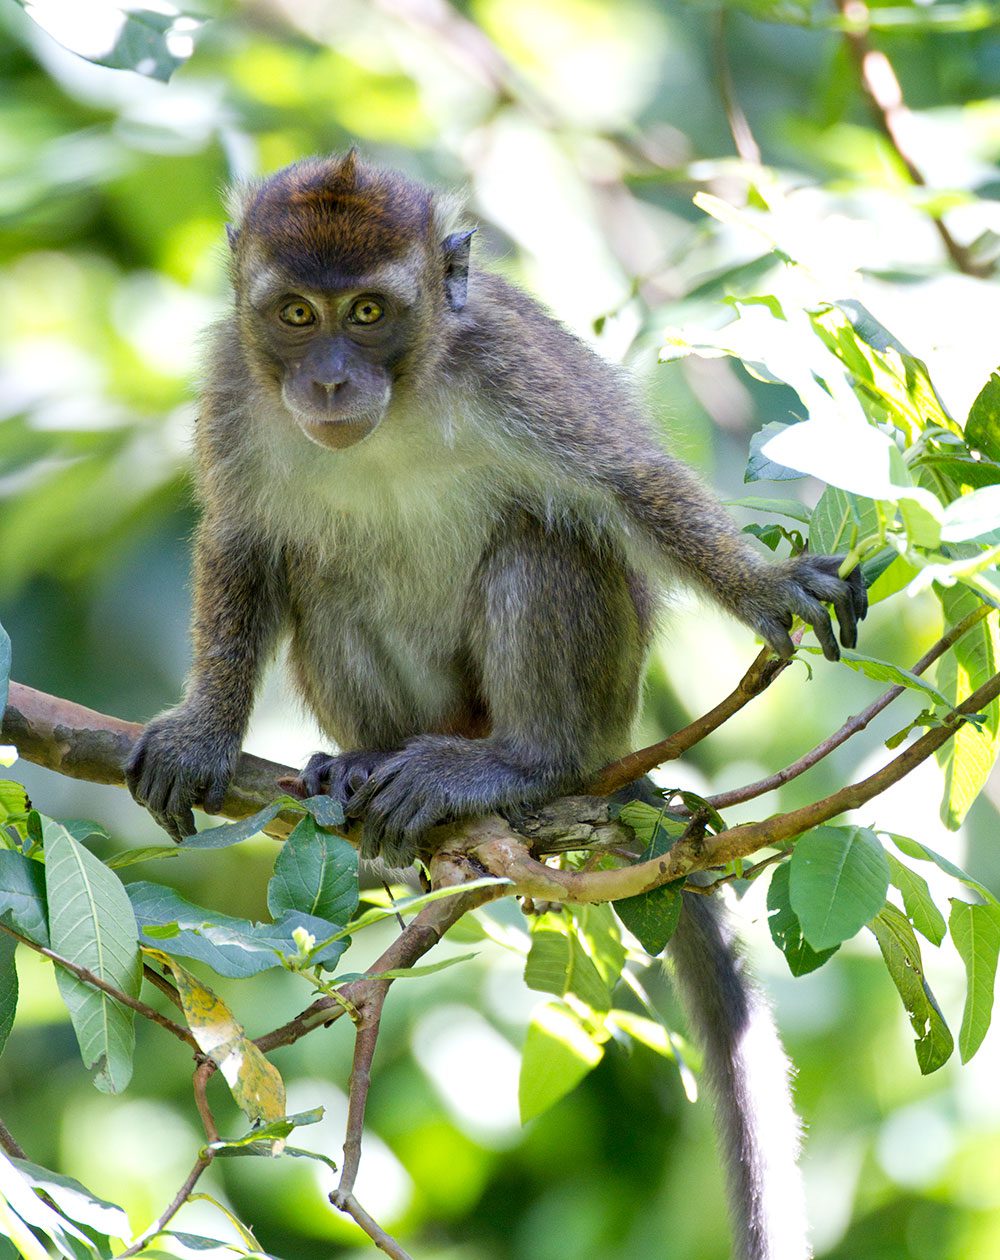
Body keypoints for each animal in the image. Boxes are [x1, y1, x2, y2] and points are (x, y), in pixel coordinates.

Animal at [126, 149, 866, 1260]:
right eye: (297, 313)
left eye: (370, 311)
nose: (330, 378)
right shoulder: (232, 393)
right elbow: (241, 546)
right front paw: (204, 732)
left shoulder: (510, 373)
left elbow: (628, 487)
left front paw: (762, 585)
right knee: (323, 575)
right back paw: (373, 764)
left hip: (594, 701)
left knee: (541, 538)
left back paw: (519, 764)